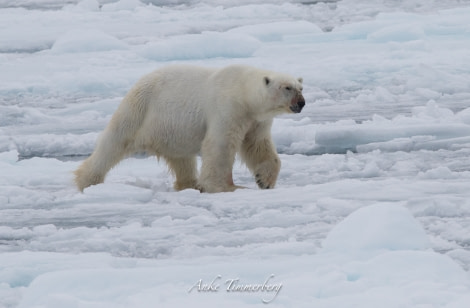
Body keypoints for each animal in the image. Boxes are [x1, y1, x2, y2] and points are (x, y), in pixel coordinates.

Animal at [74, 64, 304, 192]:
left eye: (300, 87)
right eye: (287, 88)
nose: (301, 103)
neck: (243, 93)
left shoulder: (256, 120)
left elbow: (258, 146)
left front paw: (264, 181)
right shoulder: (227, 109)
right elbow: (220, 146)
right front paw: (226, 187)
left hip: (172, 131)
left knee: (182, 159)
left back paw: (190, 185)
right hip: (140, 110)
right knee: (113, 143)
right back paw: (86, 181)